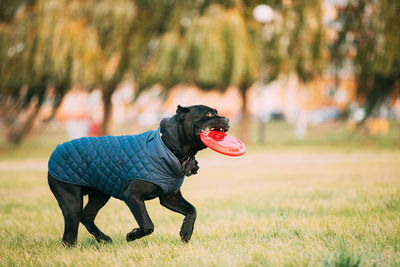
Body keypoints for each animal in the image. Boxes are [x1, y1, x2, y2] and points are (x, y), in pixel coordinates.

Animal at [47, 105, 228, 247]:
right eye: (209, 115)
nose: (226, 118)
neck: (168, 146)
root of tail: (57, 150)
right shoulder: (133, 196)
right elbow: (147, 224)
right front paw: (132, 235)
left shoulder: (170, 197)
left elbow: (192, 210)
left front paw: (186, 233)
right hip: (71, 201)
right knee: (69, 235)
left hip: (100, 195)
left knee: (87, 217)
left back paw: (104, 239)